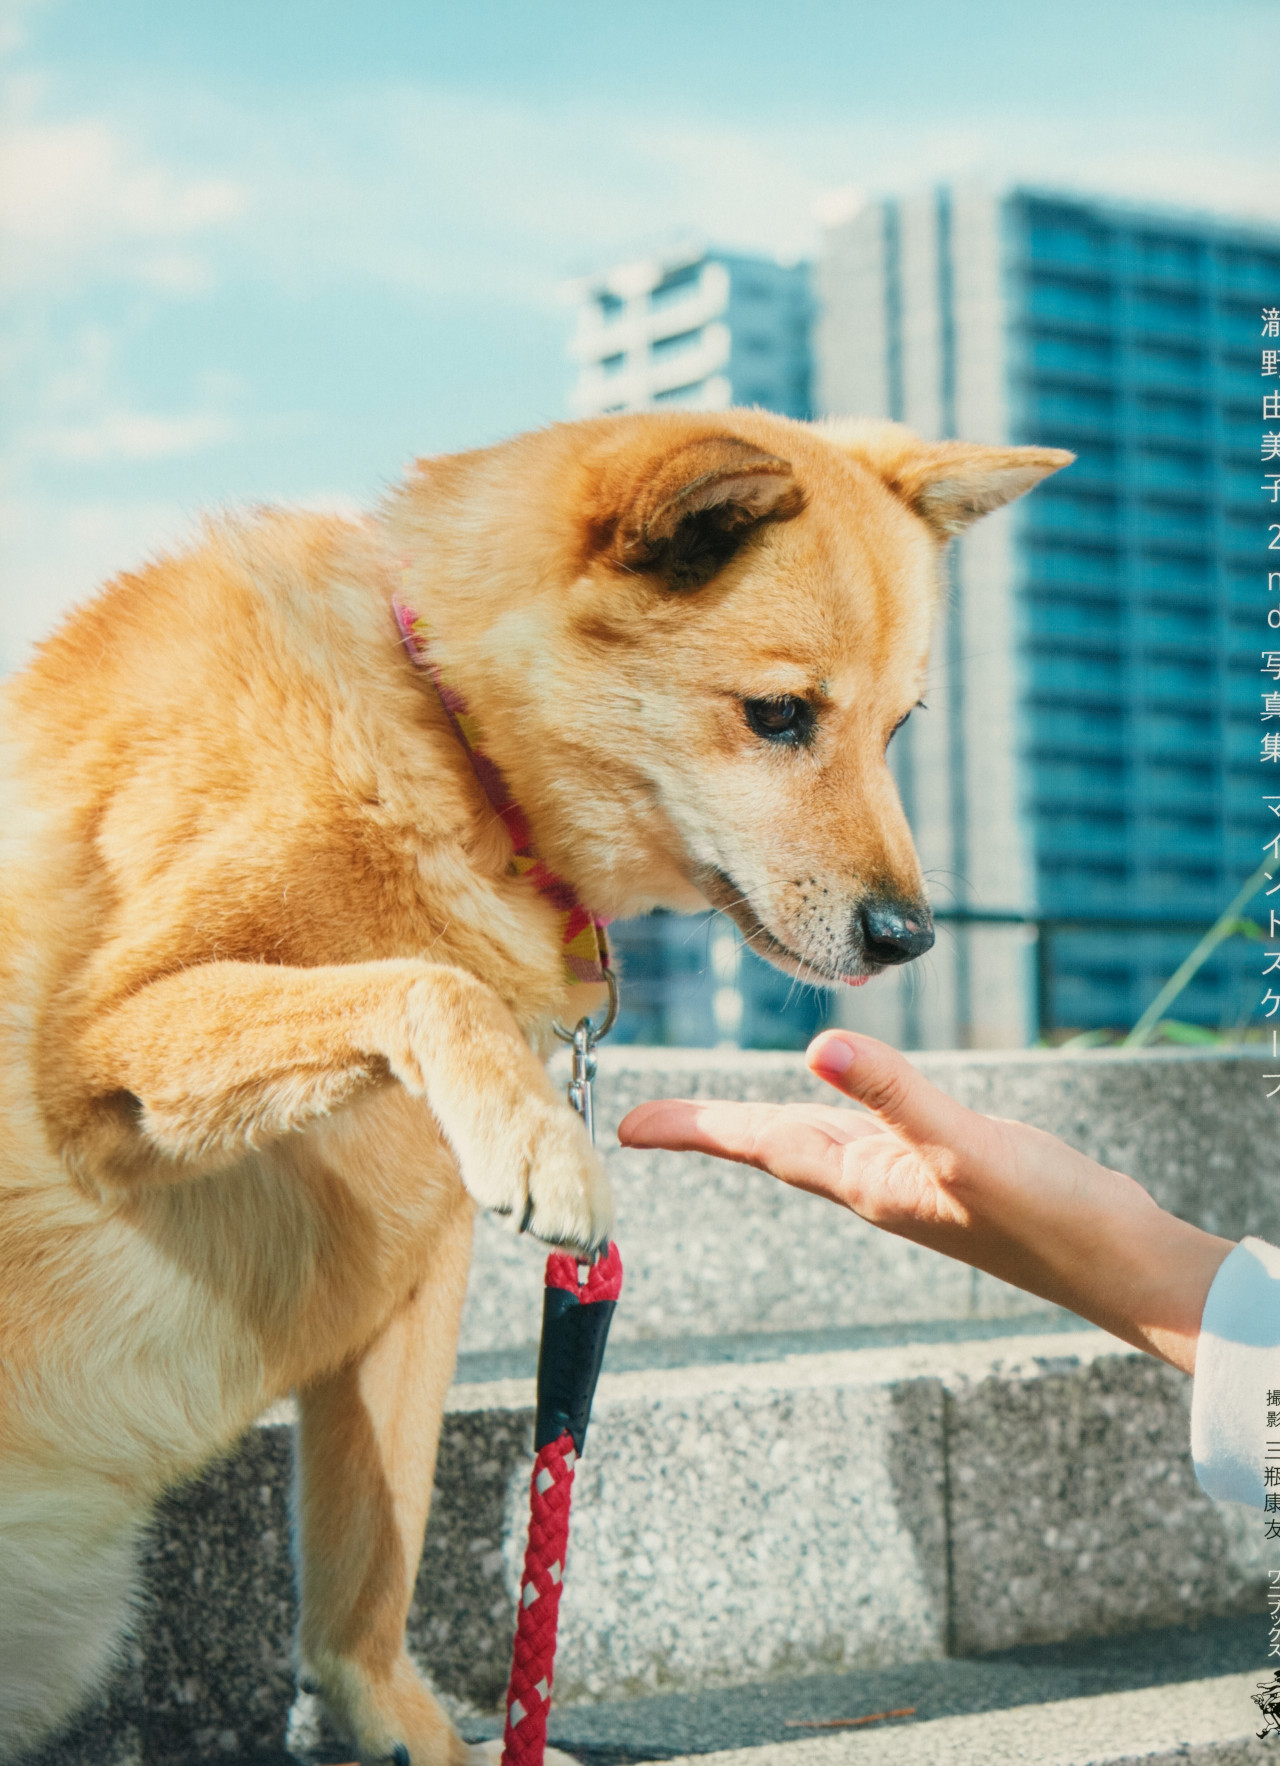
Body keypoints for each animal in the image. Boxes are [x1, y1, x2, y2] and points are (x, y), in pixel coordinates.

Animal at [0, 406, 1066, 1758]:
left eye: (897, 729)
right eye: (778, 714)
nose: (908, 936)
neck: (441, 736)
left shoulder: (413, 1263)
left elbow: (373, 1562)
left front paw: (408, 1723)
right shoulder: (103, 1058)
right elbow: (424, 980)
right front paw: (541, 1139)